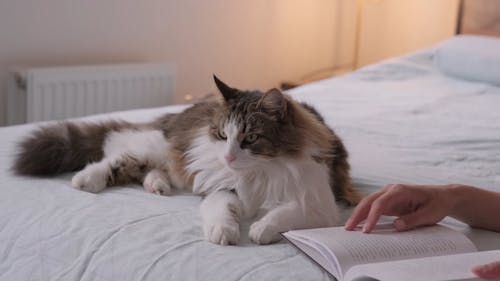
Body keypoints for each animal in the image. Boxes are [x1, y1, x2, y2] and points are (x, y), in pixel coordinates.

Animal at [13, 75, 362, 244]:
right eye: (222, 134)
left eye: (249, 139)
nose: (228, 156)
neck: (260, 172)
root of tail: (186, 110)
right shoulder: (221, 189)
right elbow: (221, 211)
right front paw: (223, 232)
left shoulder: (319, 202)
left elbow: (284, 213)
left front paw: (260, 229)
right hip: (162, 148)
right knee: (119, 151)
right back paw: (87, 180)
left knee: (143, 168)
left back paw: (157, 186)